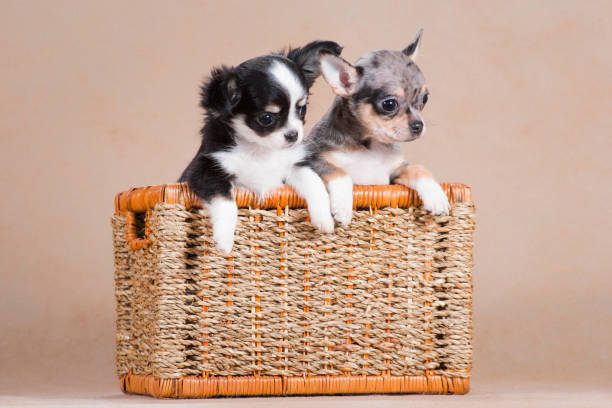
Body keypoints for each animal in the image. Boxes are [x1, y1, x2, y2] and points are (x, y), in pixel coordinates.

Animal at [179, 40, 342, 252]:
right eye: (266, 118)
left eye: (302, 109)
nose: (293, 135)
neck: (260, 149)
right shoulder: (206, 170)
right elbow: (226, 201)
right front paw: (225, 240)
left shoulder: (293, 167)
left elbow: (315, 183)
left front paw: (324, 218)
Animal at [306, 29, 450, 226]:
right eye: (389, 104)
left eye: (425, 98)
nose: (418, 125)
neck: (370, 147)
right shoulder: (313, 160)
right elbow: (340, 173)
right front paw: (342, 207)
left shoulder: (394, 173)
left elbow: (418, 169)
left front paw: (436, 196)